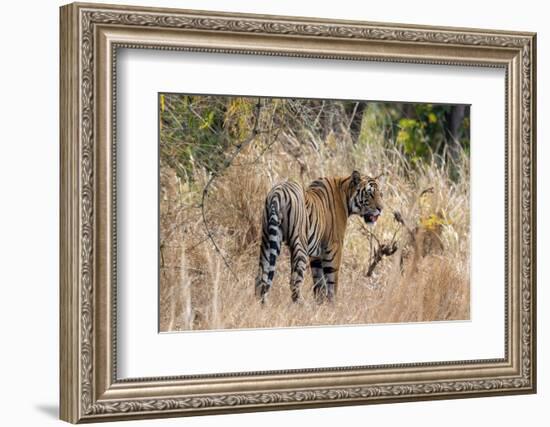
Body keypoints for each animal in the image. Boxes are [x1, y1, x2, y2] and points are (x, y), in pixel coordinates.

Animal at [256, 171, 386, 304]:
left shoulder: (316, 253)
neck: (345, 193)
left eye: (381, 194)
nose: (381, 209)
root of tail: (277, 193)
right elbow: (332, 279)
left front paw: (320, 302)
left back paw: (260, 303)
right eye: (369, 194)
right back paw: (301, 304)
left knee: (261, 277)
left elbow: (319, 280)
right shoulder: (335, 246)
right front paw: (332, 303)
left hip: (267, 240)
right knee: (294, 281)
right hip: (299, 245)